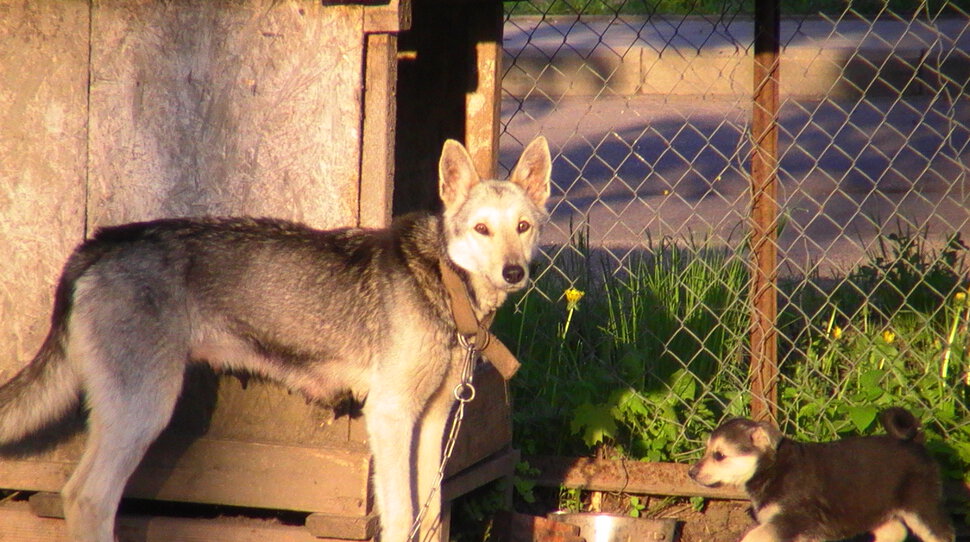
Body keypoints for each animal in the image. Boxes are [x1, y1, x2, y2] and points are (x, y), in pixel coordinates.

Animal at [0, 137, 548, 542]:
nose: (514, 273)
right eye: (481, 229)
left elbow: (429, 517)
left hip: (126, 413)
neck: (445, 281)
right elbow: (399, 516)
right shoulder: (390, 416)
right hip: (144, 410)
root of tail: (97, 244)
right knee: (88, 498)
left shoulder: (432, 422)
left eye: (522, 227)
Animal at [688, 410, 952, 542]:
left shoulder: (791, 520)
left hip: (921, 505)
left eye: (719, 455)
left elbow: (754, 536)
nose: (691, 473)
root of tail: (916, 442)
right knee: (895, 532)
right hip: (876, 508)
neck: (771, 468)